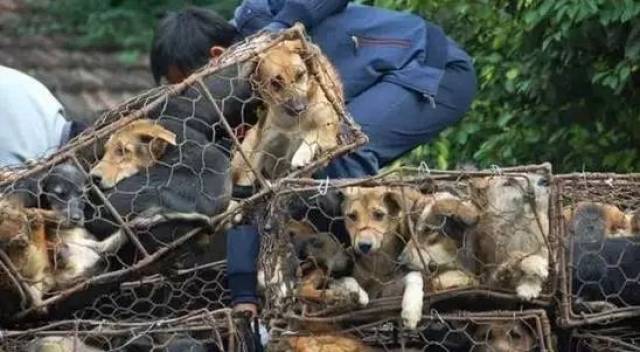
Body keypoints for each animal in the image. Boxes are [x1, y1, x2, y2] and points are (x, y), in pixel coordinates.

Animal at [231, 37, 344, 187]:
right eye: (275, 83)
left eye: (300, 74)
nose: (299, 108)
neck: (293, 122)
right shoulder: (265, 143)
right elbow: (252, 170)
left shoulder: (328, 127)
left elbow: (314, 133)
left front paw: (301, 155)